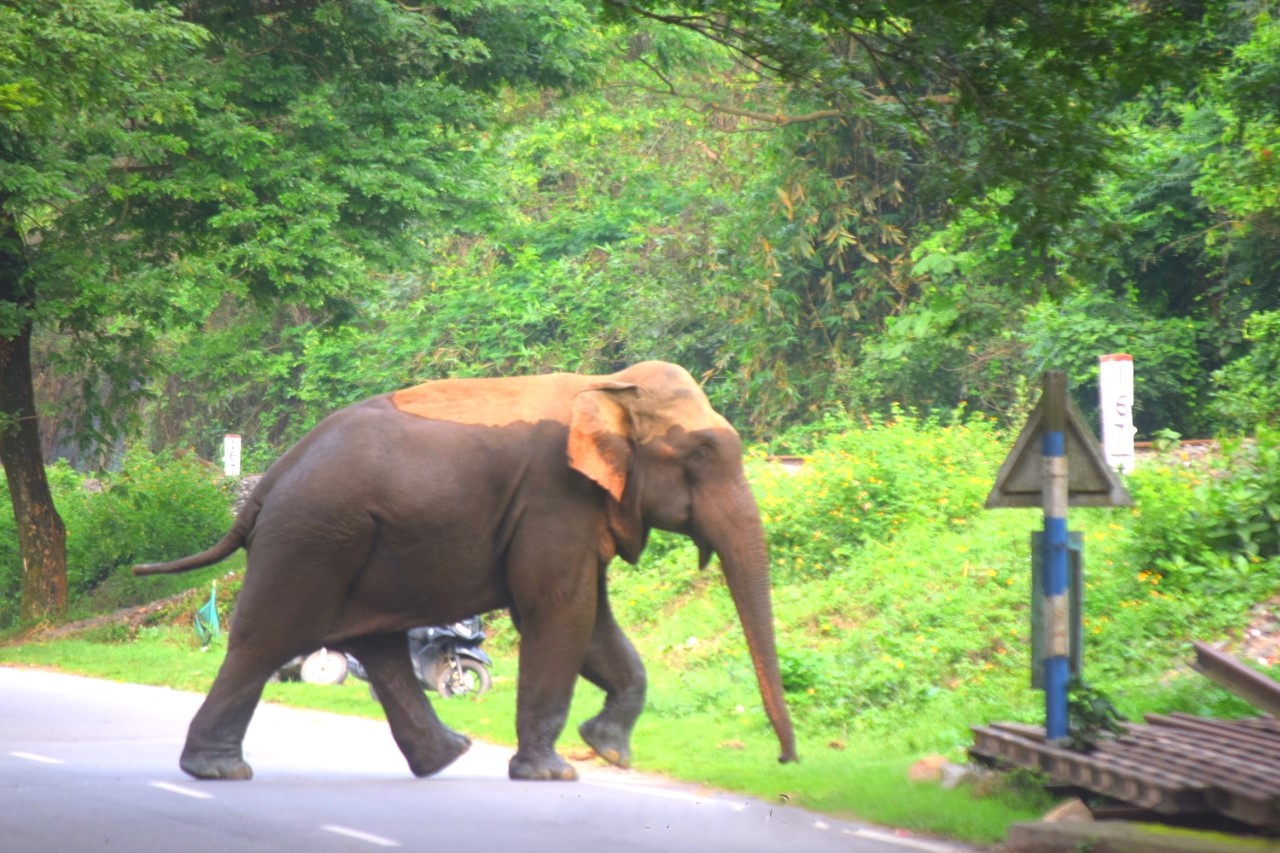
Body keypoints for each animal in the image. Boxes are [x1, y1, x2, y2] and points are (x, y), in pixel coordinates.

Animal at [137, 356, 798, 778]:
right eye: (702, 452)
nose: (786, 762)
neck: (608, 387)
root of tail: (267, 480)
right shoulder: (553, 499)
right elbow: (557, 612)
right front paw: (552, 774)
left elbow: (592, 623)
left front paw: (609, 751)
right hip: (315, 535)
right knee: (268, 638)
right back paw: (219, 772)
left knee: (375, 644)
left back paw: (447, 756)